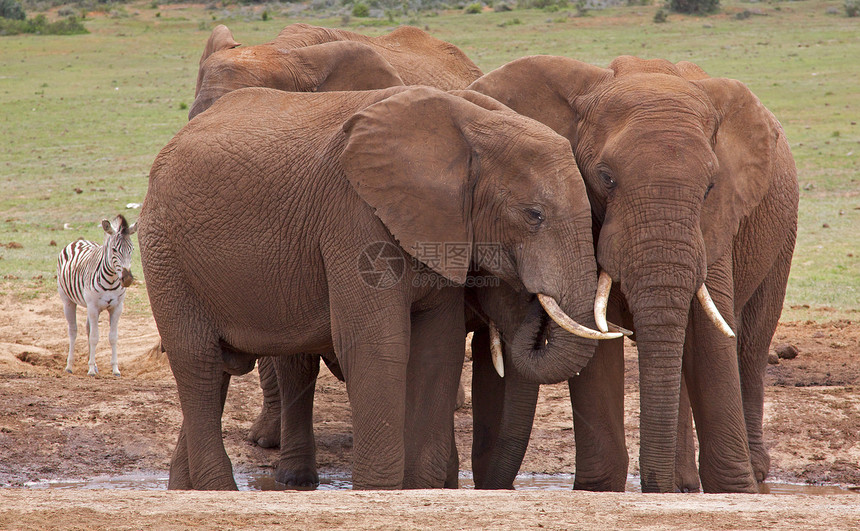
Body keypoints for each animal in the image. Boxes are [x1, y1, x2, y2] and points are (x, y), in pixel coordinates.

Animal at [58, 214, 138, 376]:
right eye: (114, 250)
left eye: (132, 249)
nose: (127, 279)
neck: (112, 280)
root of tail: (78, 241)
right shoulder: (93, 307)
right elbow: (95, 337)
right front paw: (90, 370)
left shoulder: (117, 307)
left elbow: (113, 337)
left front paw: (115, 369)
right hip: (68, 301)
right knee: (73, 331)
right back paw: (69, 366)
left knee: (88, 329)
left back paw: (93, 364)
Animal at [138, 86, 620, 490]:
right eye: (533, 215)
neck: (470, 125)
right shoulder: (353, 217)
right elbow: (377, 345)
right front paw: (378, 490)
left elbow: (437, 348)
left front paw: (419, 489)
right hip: (164, 252)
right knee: (197, 363)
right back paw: (218, 491)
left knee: (218, 369)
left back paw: (182, 490)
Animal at [466, 55, 804, 494]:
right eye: (606, 177)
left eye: (710, 186)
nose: (653, 486)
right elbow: (599, 343)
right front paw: (599, 490)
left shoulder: (715, 223)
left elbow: (710, 336)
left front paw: (736, 491)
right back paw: (681, 484)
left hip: (781, 232)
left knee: (749, 343)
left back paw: (746, 474)